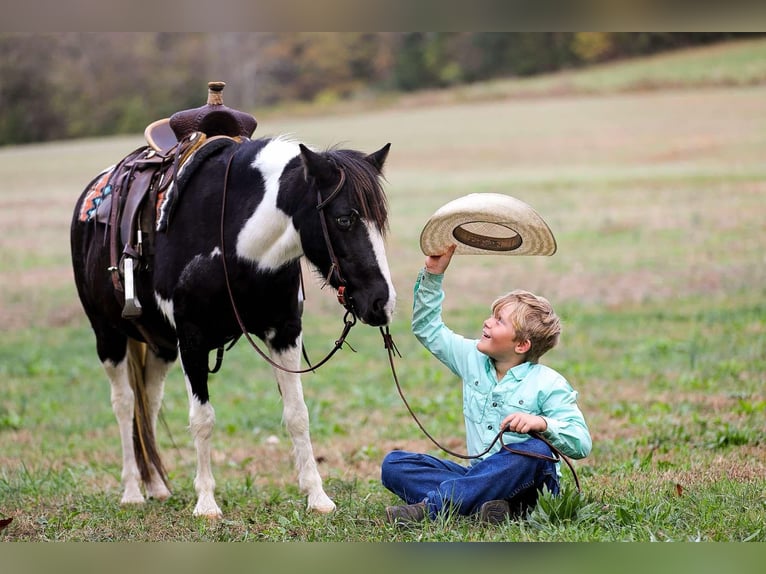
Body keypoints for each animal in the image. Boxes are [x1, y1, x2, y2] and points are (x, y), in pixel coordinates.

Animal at [70, 134, 395, 517]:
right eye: (344, 219)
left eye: (381, 220)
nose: (382, 302)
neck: (234, 241)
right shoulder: (191, 341)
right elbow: (202, 419)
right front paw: (206, 503)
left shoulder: (284, 333)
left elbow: (297, 414)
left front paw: (318, 497)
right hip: (108, 335)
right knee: (124, 403)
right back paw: (133, 490)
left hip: (160, 345)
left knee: (147, 402)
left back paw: (157, 486)